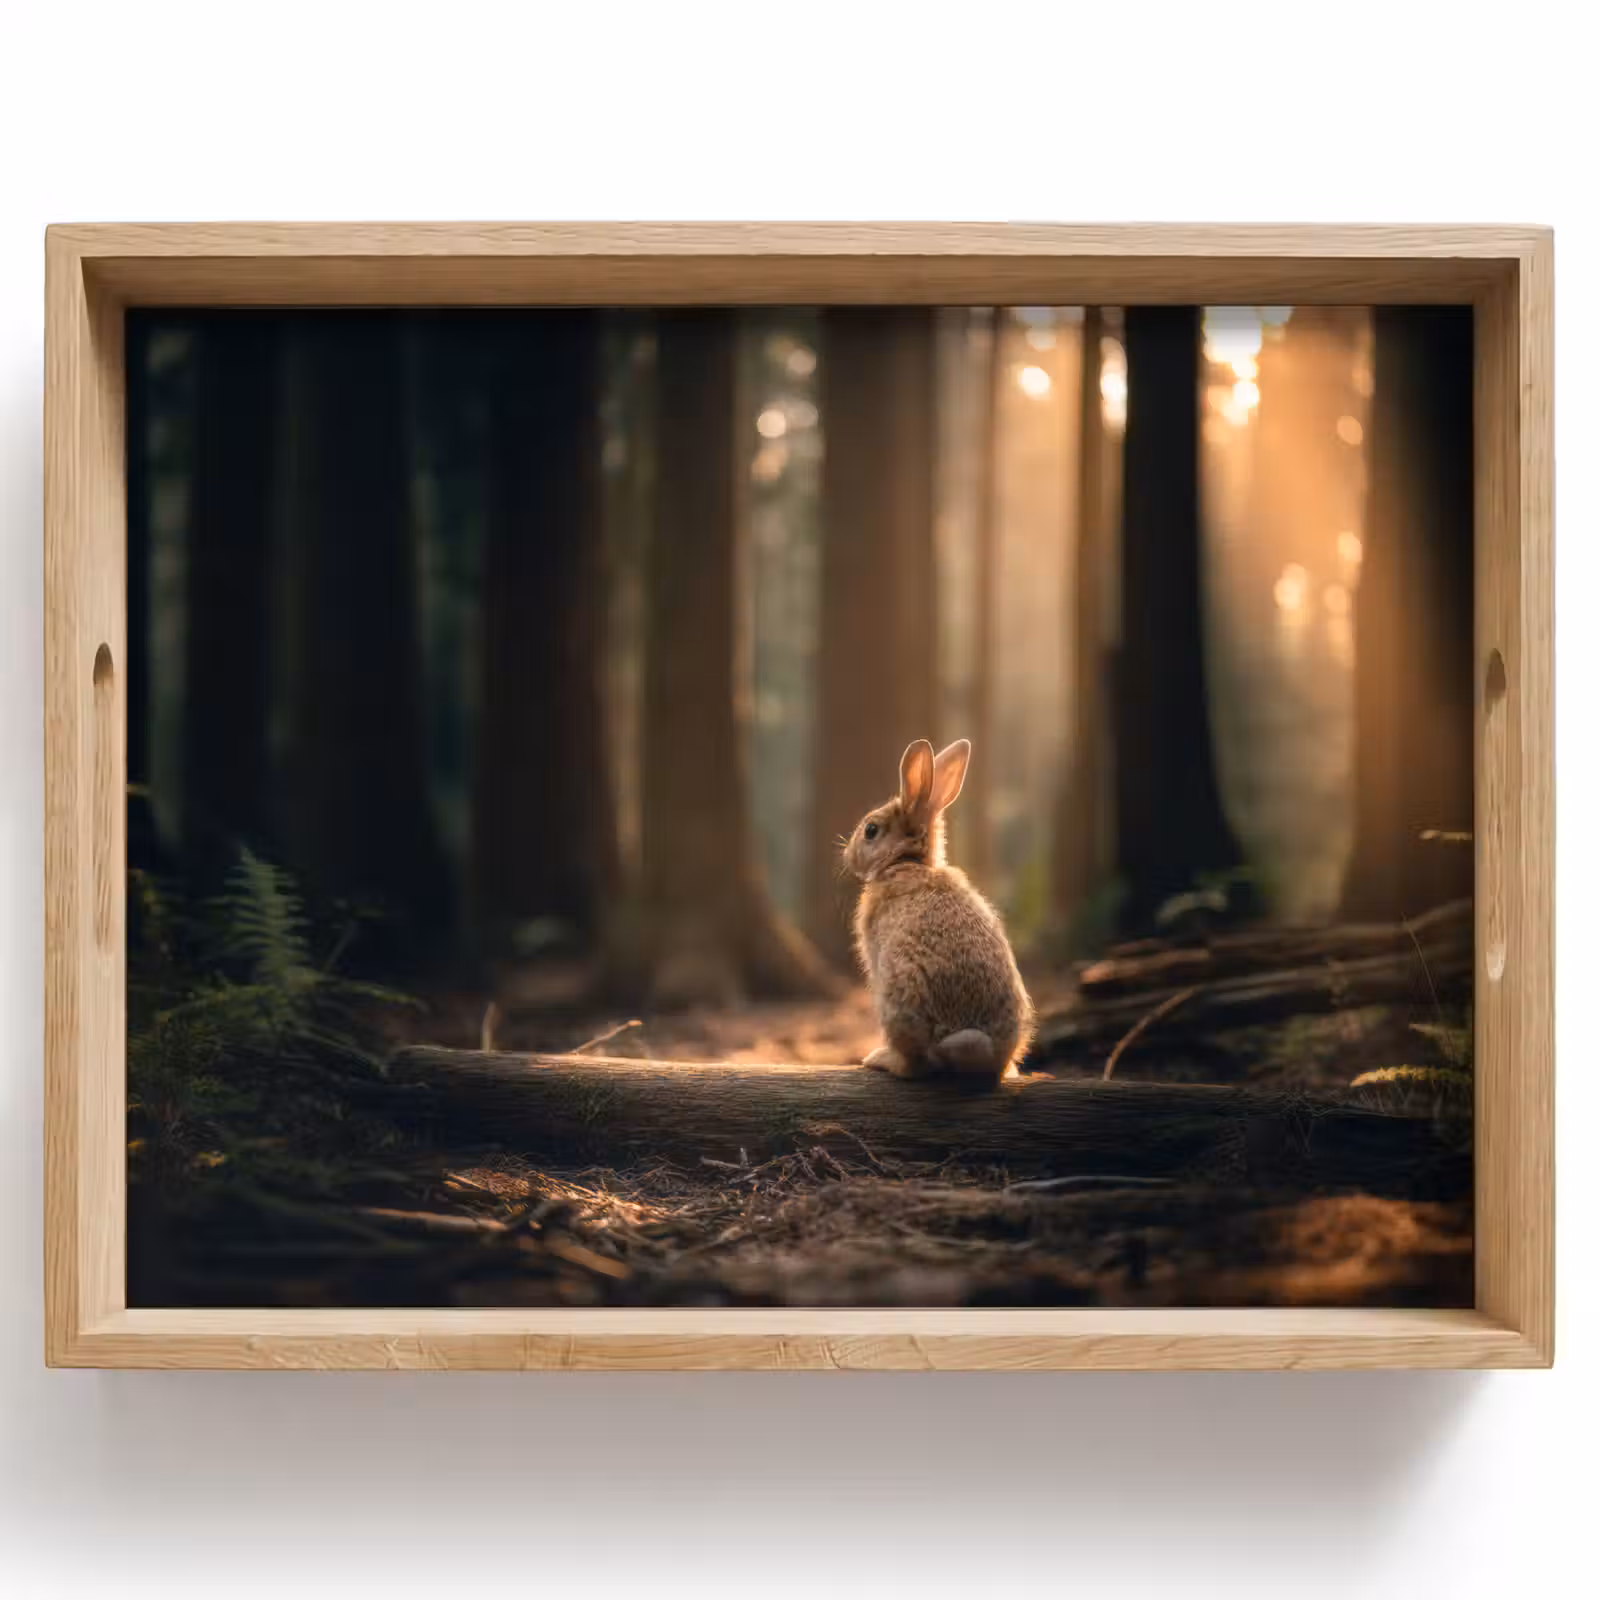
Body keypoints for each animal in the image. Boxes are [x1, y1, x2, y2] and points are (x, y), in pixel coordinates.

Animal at [842, 738, 1034, 1082]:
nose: (848, 856)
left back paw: (879, 1059)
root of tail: (987, 1057)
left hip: (898, 1002)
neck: (905, 861)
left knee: (915, 1065)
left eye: (871, 830)